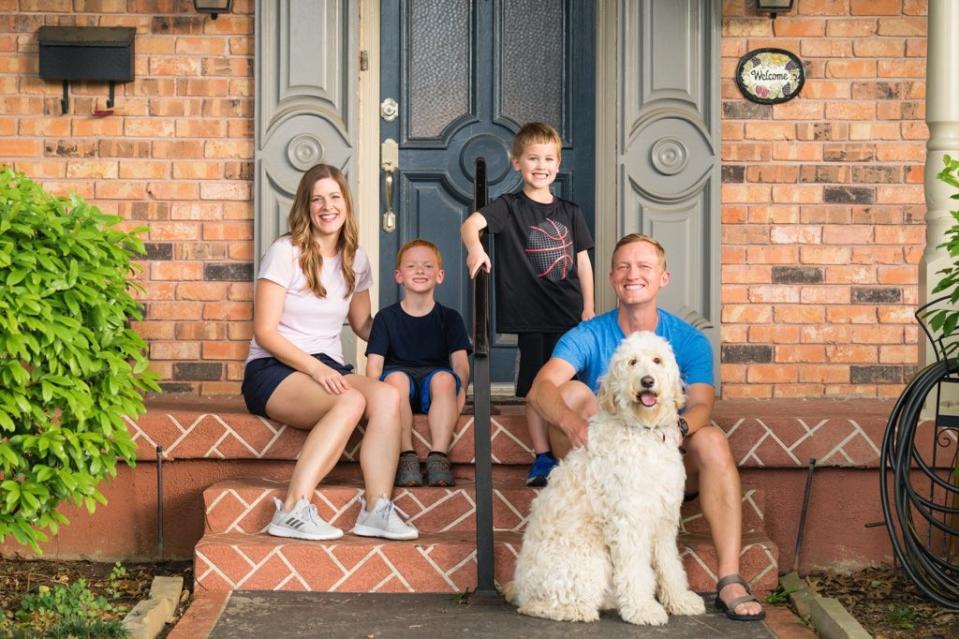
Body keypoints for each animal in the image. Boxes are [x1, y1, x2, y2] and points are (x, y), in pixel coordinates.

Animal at [510, 332, 704, 628]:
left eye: (657, 360)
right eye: (632, 362)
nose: (647, 381)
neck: (643, 431)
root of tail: (521, 587)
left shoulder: (663, 519)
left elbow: (670, 565)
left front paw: (680, 600)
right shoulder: (629, 521)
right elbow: (636, 571)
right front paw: (643, 609)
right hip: (589, 559)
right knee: (539, 606)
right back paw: (577, 610)